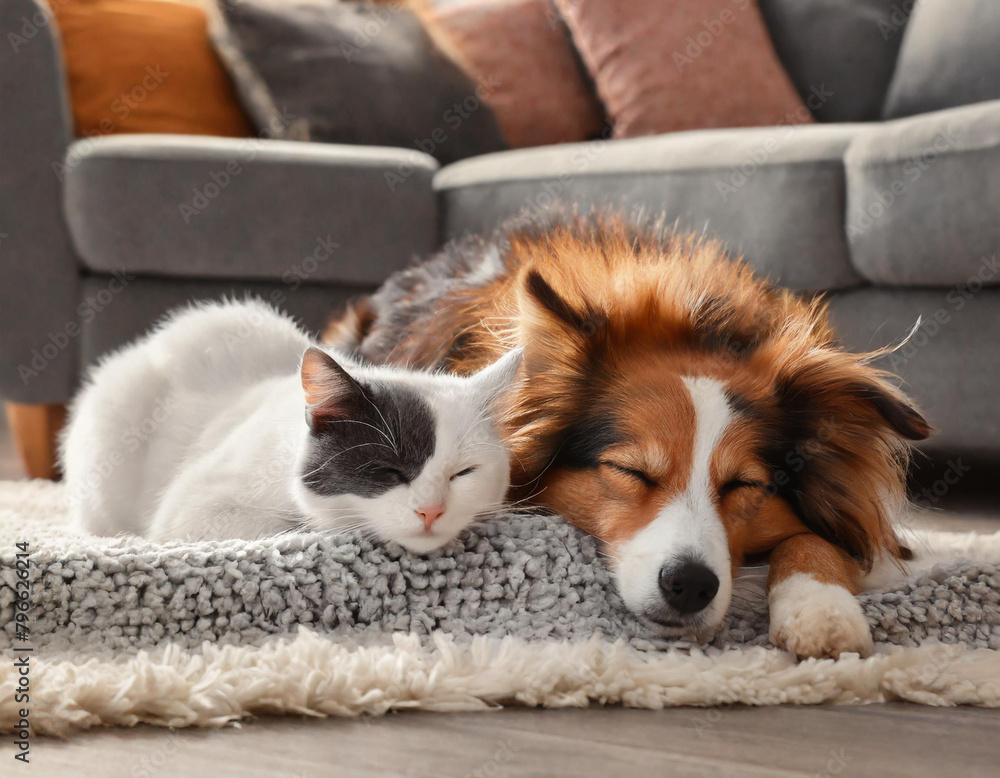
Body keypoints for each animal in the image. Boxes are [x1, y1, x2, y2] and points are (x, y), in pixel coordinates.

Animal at [328, 212, 928, 656]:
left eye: (744, 486)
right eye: (630, 471)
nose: (691, 587)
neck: (698, 323)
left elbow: (814, 539)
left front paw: (822, 607)